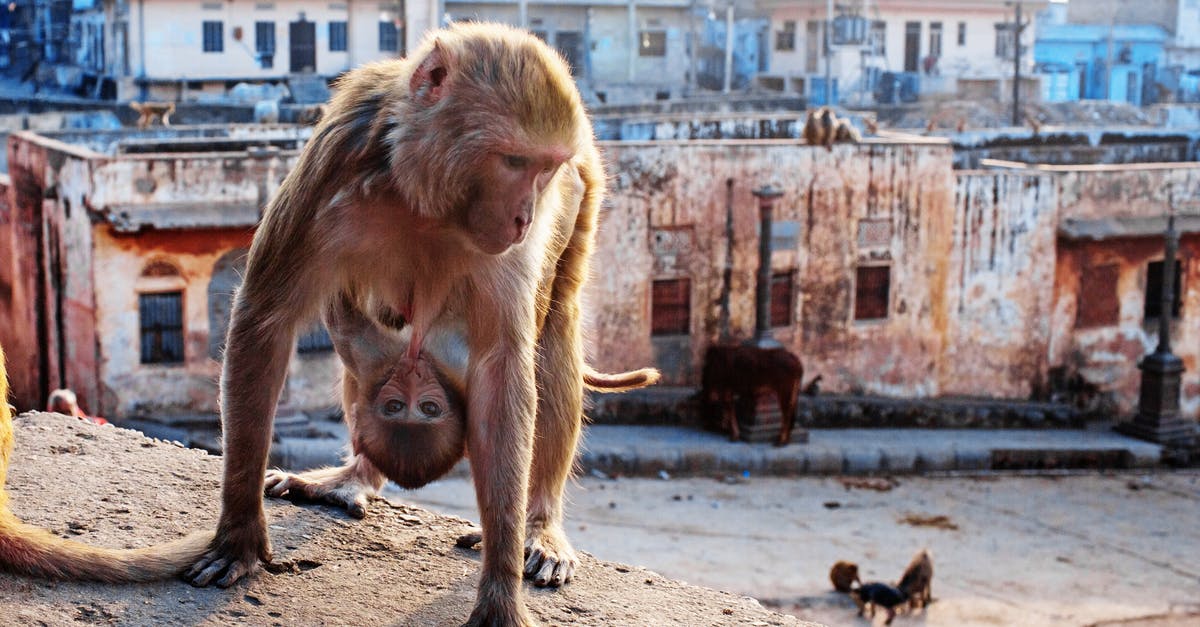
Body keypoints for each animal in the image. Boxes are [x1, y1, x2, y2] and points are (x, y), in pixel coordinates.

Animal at [184, 23, 634, 626]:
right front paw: (238, 533)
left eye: (544, 168)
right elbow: (266, 319)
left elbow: (502, 369)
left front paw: (501, 588)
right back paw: (355, 477)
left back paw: (539, 524)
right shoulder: (336, 158)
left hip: (585, 189)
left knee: (555, 328)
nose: (524, 217)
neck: (427, 196)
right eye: (514, 161)